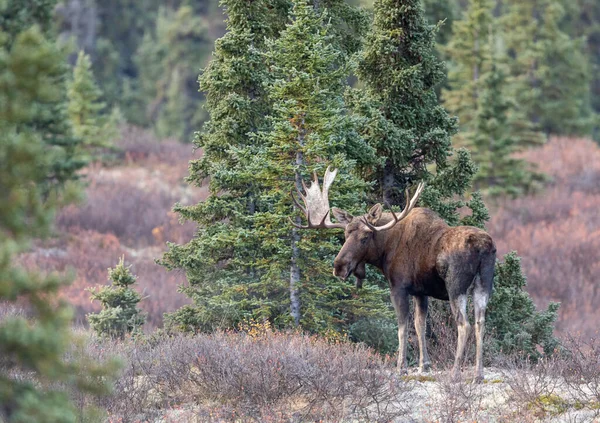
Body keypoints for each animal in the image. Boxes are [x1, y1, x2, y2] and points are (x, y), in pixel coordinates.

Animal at [291, 167, 496, 382]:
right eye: (346, 234)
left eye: (365, 237)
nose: (339, 266)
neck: (385, 250)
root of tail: (483, 247)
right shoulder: (420, 292)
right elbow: (420, 325)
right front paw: (424, 365)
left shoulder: (399, 287)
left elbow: (402, 327)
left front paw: (401, 367)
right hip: (483, 285)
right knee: (480, 322)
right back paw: (478, 373)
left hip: (456, 287)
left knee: (464, 324)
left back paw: (456, 371)